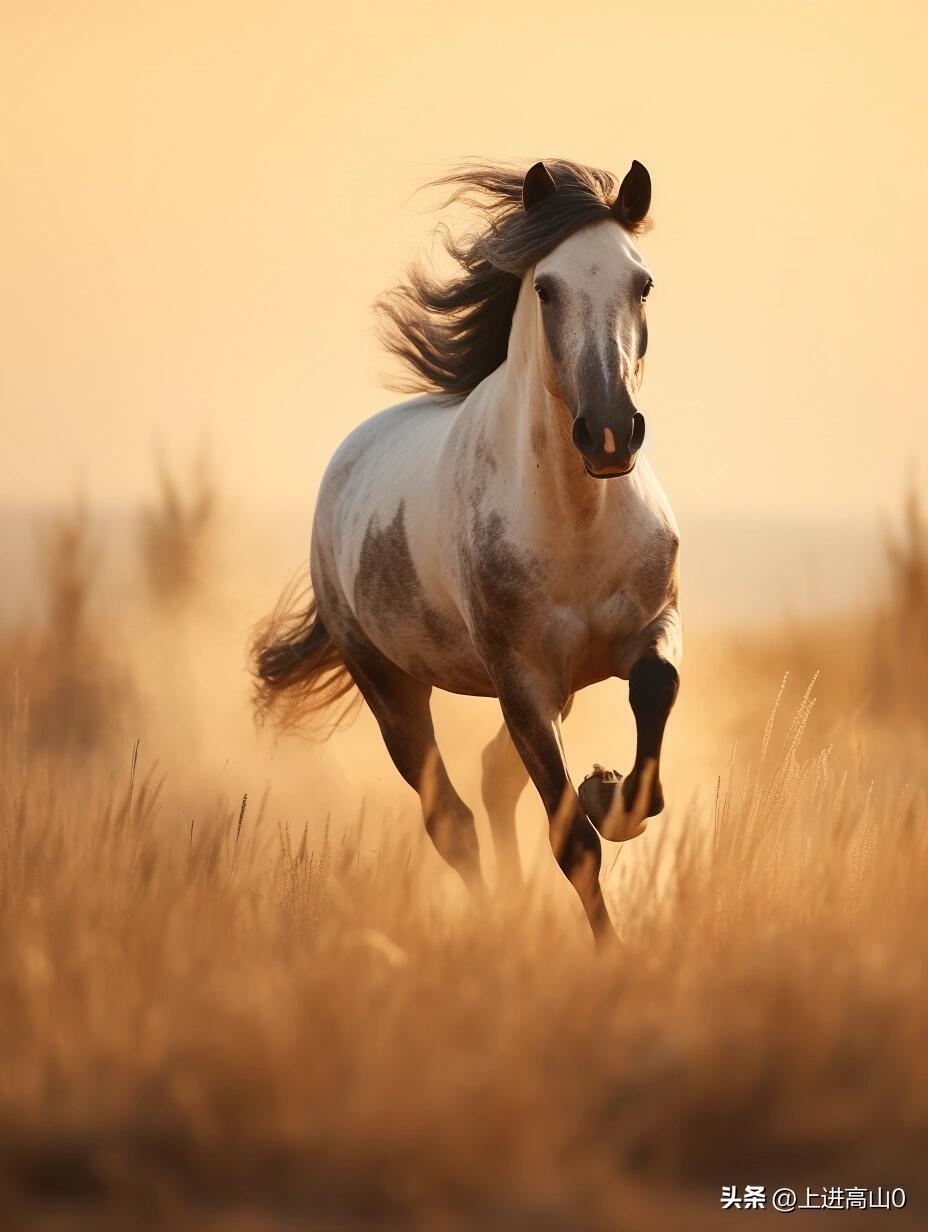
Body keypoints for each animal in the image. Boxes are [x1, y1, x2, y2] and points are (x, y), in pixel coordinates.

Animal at [253, 156, 680, 941]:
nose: (610, 433)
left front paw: (609, 791)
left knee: (489, 779)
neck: (576, 522)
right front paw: (611, 951)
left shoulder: (651, 630)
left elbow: (653, 695)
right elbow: (572, 844)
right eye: (545, 287)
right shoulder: (521, 680)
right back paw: (495, 927)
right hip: (390, 686)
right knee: (449, 819)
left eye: (642, 282)